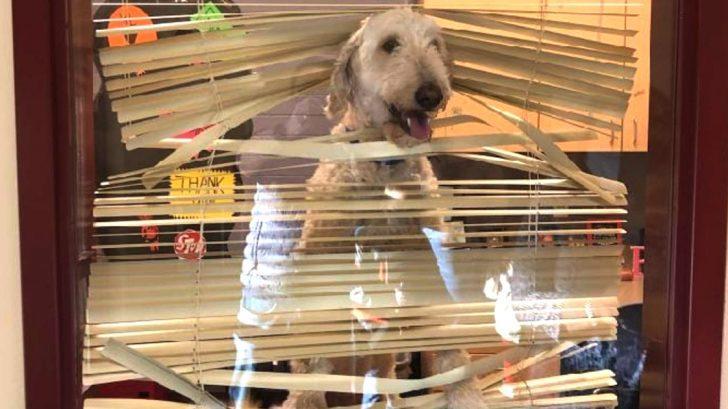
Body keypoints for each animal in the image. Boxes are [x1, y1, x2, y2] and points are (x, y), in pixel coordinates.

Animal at [278, 8, 489, 409]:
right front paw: (306, 397)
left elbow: (451, 353)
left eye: (434, 45)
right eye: (390, 45)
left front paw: (466, 394)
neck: (384, 164)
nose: (431, 95)